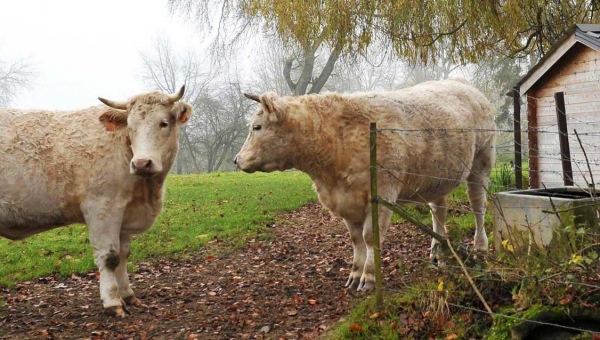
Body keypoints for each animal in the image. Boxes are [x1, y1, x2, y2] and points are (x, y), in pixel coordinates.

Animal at [0, 87, 192, 316]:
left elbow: (123, 254)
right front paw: (113, 302)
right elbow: (110, 257)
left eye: (163, 123)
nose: (141, 164)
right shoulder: (102, 207)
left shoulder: (124, 212)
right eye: (130, 127)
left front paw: (128, 295)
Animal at [234, 78, 496, 290]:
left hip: (481, 163)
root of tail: (464, 84)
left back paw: (480, 248)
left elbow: (370, 237)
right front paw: (355, 273)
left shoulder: (383, 194)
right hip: (437, 179)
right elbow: (356, 239)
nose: (237, 160)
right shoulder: (346, 201)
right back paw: (437, 254)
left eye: (257, 127)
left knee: (478, 206)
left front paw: (369, 277)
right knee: (439, 213)